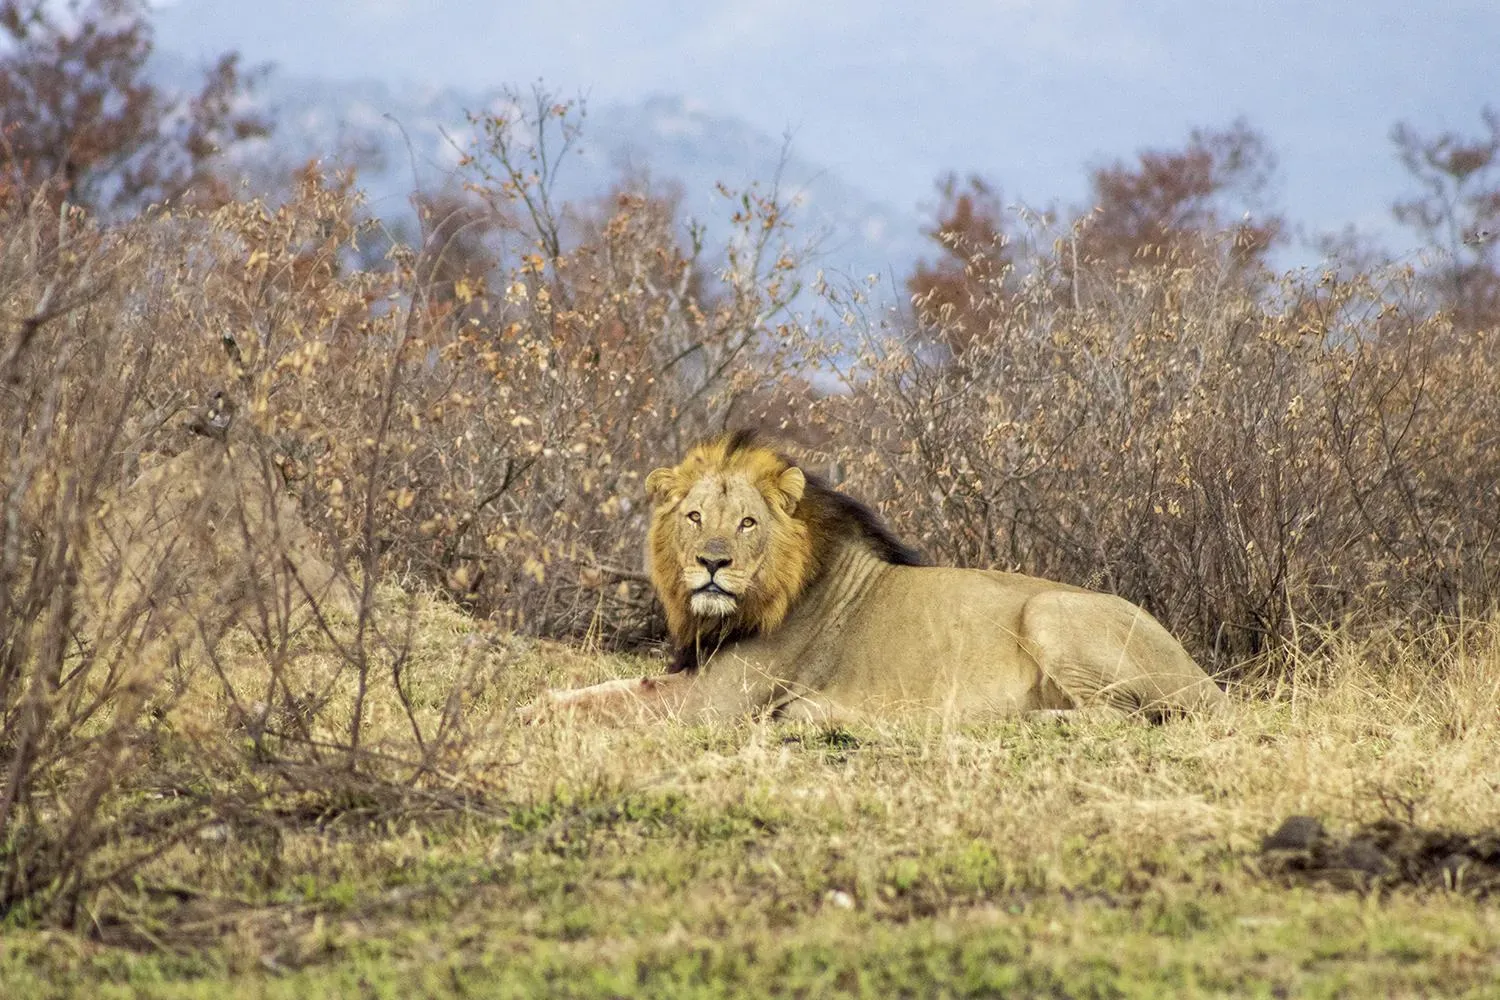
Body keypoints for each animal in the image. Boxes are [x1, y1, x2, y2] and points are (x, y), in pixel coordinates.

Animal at [527, 431, 1227, 724]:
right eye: (695, 517)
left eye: (747, 523)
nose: (713, 563)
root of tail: (1204, 680)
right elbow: (609, 687)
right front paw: (537, 702)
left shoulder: (713, 704)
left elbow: (621, 703)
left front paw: (539, 716)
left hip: (1050, 613)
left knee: (1119, 719)